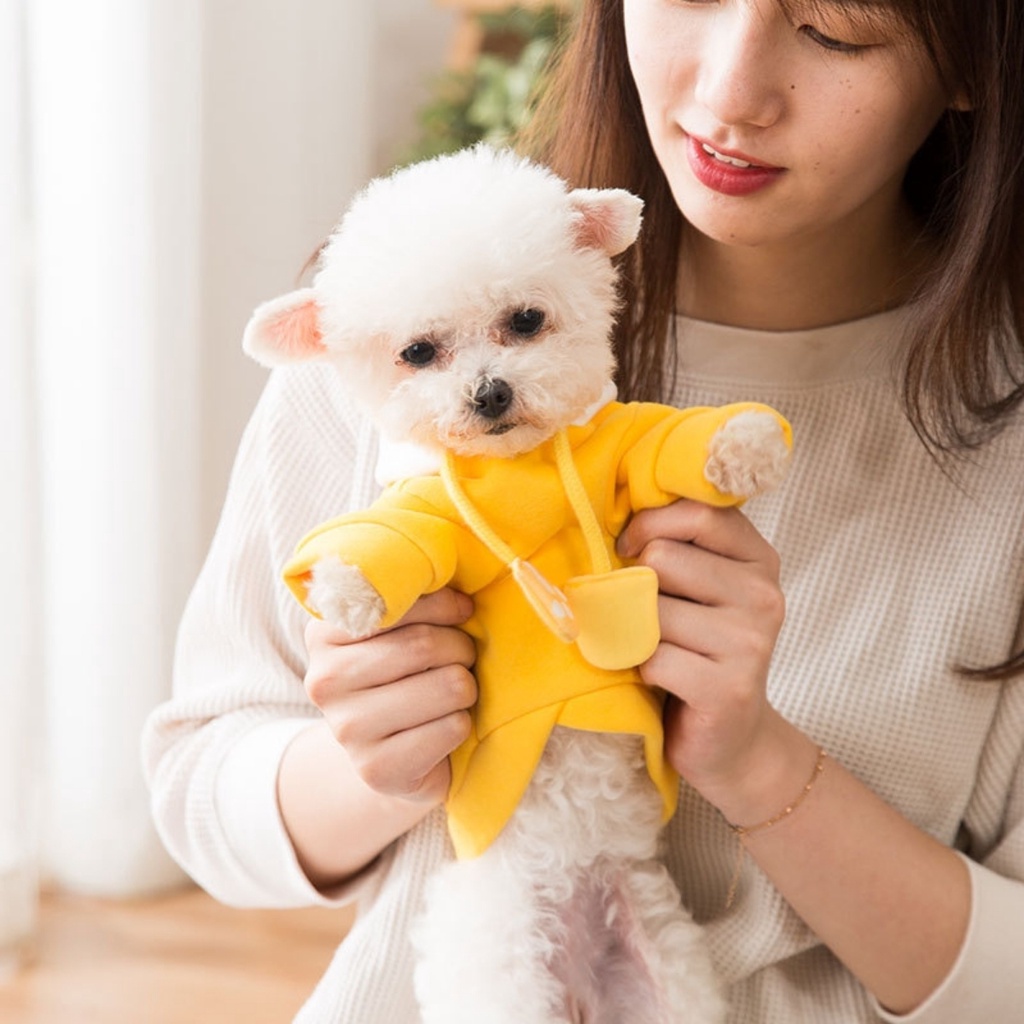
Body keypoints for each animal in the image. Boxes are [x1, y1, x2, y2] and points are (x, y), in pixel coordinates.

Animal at [245, 146, 790, 1024]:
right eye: (418, 353)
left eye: (526, 320)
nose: (490, 392)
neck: (517, 466)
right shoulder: (433, 520)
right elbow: (403, 545)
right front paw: (348, 592)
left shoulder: (615, 454)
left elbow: (660, 445)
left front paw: (742, 446)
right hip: (498, 962)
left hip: (665, 967)